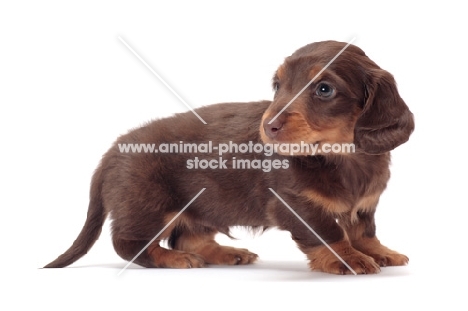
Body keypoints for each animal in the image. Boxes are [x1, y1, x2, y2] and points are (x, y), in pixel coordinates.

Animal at [44, 40, 414, 276]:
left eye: (324, 89)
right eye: (277, 85)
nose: (269, 126)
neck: (341, 157)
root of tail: (113, 151)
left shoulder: (365, 205)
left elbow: (364, 231)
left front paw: (380, 252)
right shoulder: (294, 204)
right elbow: (330, 233)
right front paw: (349, 258)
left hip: (203, 205)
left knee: (189, 236)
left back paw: (225, 253)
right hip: (148, 206)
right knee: (129, 243)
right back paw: (174, 259)